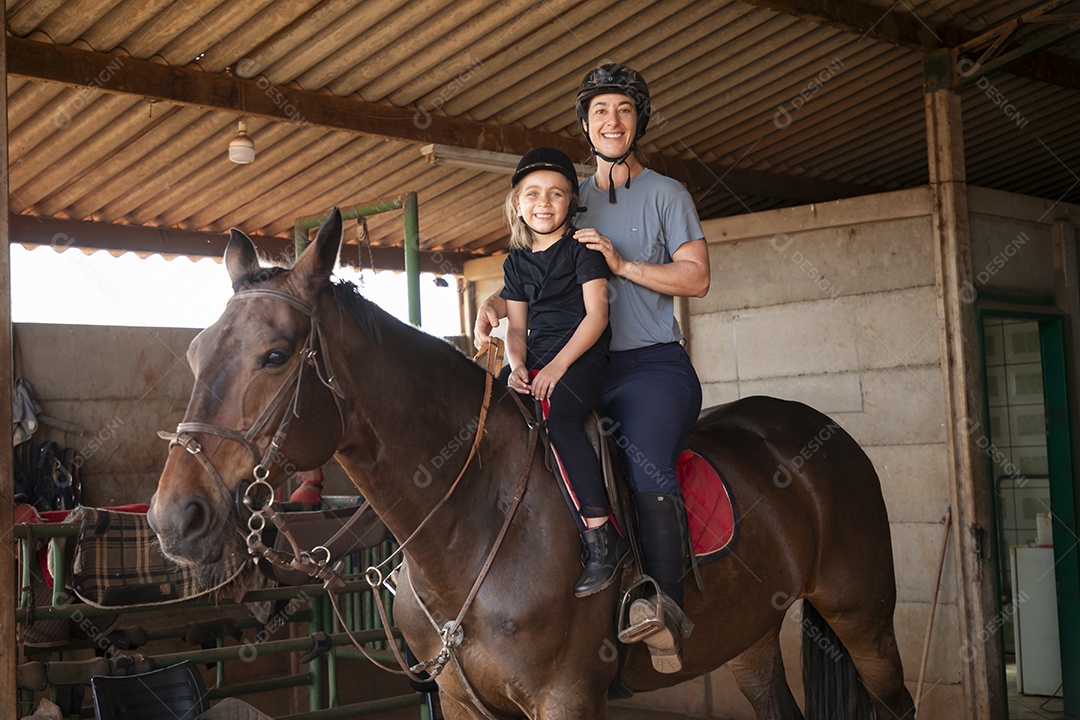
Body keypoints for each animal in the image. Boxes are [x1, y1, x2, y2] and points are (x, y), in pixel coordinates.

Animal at [150, 209, 911, 720]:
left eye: (276, 356)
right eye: (192, 354)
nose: (174, 517)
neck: (476, 522)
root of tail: (820, 432)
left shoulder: (565, 699)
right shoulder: (462, 703)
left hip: (864, 619)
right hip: (748, 635)